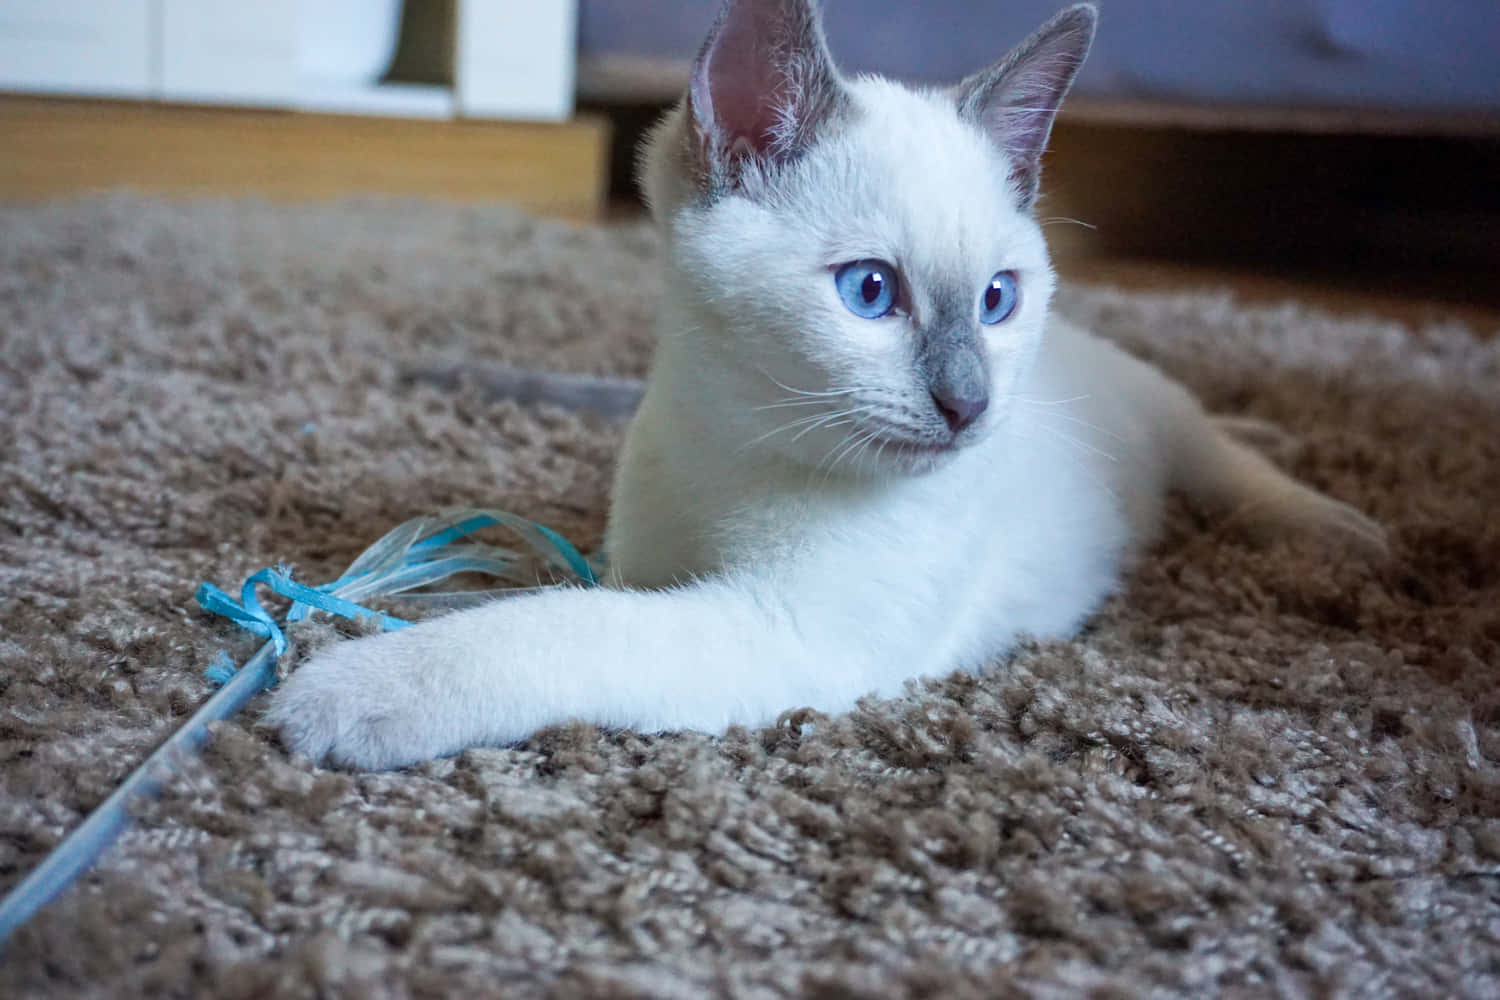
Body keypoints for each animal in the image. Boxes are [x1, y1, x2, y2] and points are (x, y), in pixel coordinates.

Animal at [270, 0, 1380, 773]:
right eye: (870, 292)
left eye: (995, 299)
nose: (970, 406)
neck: (732, 444)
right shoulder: (642, 564)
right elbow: (578, 597)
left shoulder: (784, 629)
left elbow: (557, 627)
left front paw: (343, 692)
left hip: (1165, 418)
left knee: (1228, 462)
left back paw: (1343, 526)